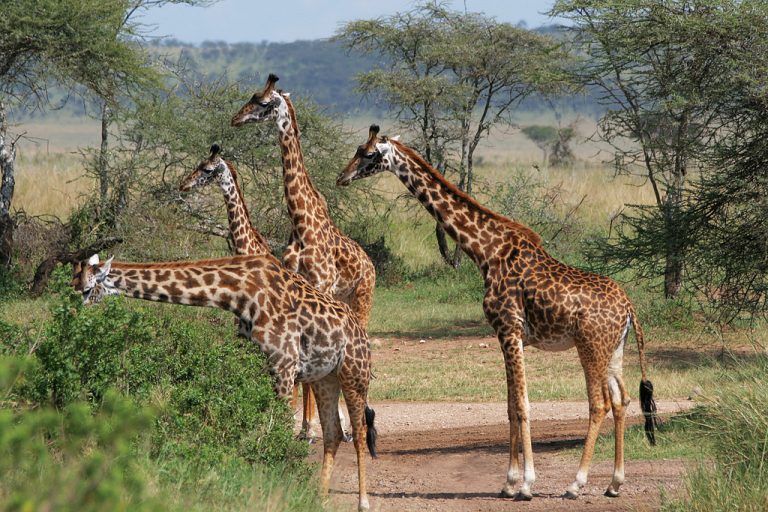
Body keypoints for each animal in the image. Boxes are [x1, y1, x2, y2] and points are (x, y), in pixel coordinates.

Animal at [71, 253, 377, 512]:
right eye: (72, 284)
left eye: (86, 289)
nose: (71, 310)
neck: (240, 294)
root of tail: (361, 334)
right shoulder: (254, 362)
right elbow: (257, 424)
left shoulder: (284, 365)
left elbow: (277, 427)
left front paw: (279, 478)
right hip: (325, 378)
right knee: (333, 433)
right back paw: (321, 499)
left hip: (354, 374)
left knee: (360, 431)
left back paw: (363, 502)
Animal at [337, 125, 658, 500]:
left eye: (367, 153)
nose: (342, 177)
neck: (485, 252)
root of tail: (629, 306)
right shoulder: (504, 335)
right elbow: (509, 406)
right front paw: (508, 482)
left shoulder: (509, 329)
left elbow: (522, 405)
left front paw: (527, 484)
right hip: (614, 349)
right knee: (622, 400)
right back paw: (614, 483)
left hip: (589, 346)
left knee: (600, 403)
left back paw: (575, 484)